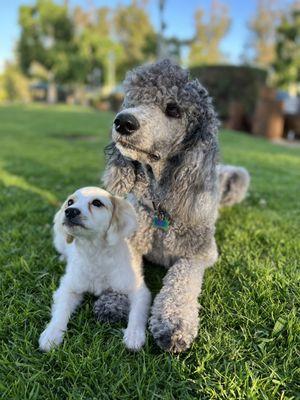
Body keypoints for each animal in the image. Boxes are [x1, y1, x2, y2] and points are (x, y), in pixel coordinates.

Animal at [39, 186, 151, 352]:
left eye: (97, 203)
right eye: (70, 202)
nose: (70, 211)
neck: (94, 252)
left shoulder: (140, 290)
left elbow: (137, 313)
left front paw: (134, 334)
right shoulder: (68, 287)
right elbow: (61, 311)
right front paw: (51, 334)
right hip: (60, 240)